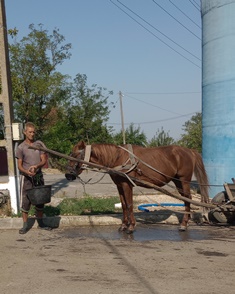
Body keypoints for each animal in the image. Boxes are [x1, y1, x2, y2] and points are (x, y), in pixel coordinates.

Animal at [64, 141, 209, 233]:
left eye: (75, 155)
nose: (68, 175)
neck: (117, 157)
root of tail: (189, 151)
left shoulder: (126, 184)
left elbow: (129, 204)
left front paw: (131, 227)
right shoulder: (119, 185)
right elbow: (123, 205)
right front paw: (123, 226)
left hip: (184, 180)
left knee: (188, 198)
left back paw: (184, 224)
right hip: (177, 181)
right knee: (185, 198)